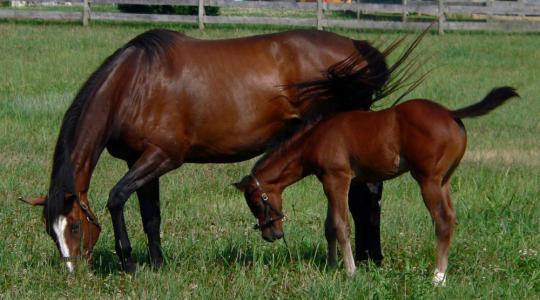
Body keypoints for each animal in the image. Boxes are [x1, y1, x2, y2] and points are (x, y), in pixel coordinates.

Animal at [21, 28, 424, 272]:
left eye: (74, 226)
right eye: (51, 232)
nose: (73, 271)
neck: (133, 84)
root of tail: (358, 50)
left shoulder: (162, 158)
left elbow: (117, 198)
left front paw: (130, 262)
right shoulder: (142, 161)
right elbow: (151, 216)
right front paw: (157, 264)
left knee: (367, 195)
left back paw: (371, 258)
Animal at [233, 87, 520, 286]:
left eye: (257, 202)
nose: (272, 235)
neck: (316, 137)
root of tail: (451, 113)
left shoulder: (338, 178)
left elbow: (341, 225)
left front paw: (350, 272)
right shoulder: (328, 180)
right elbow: (329, 226)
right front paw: (330, 266)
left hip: (428, 181)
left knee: (443, 220)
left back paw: (438, 276)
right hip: (444, 180)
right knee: (451, 217)